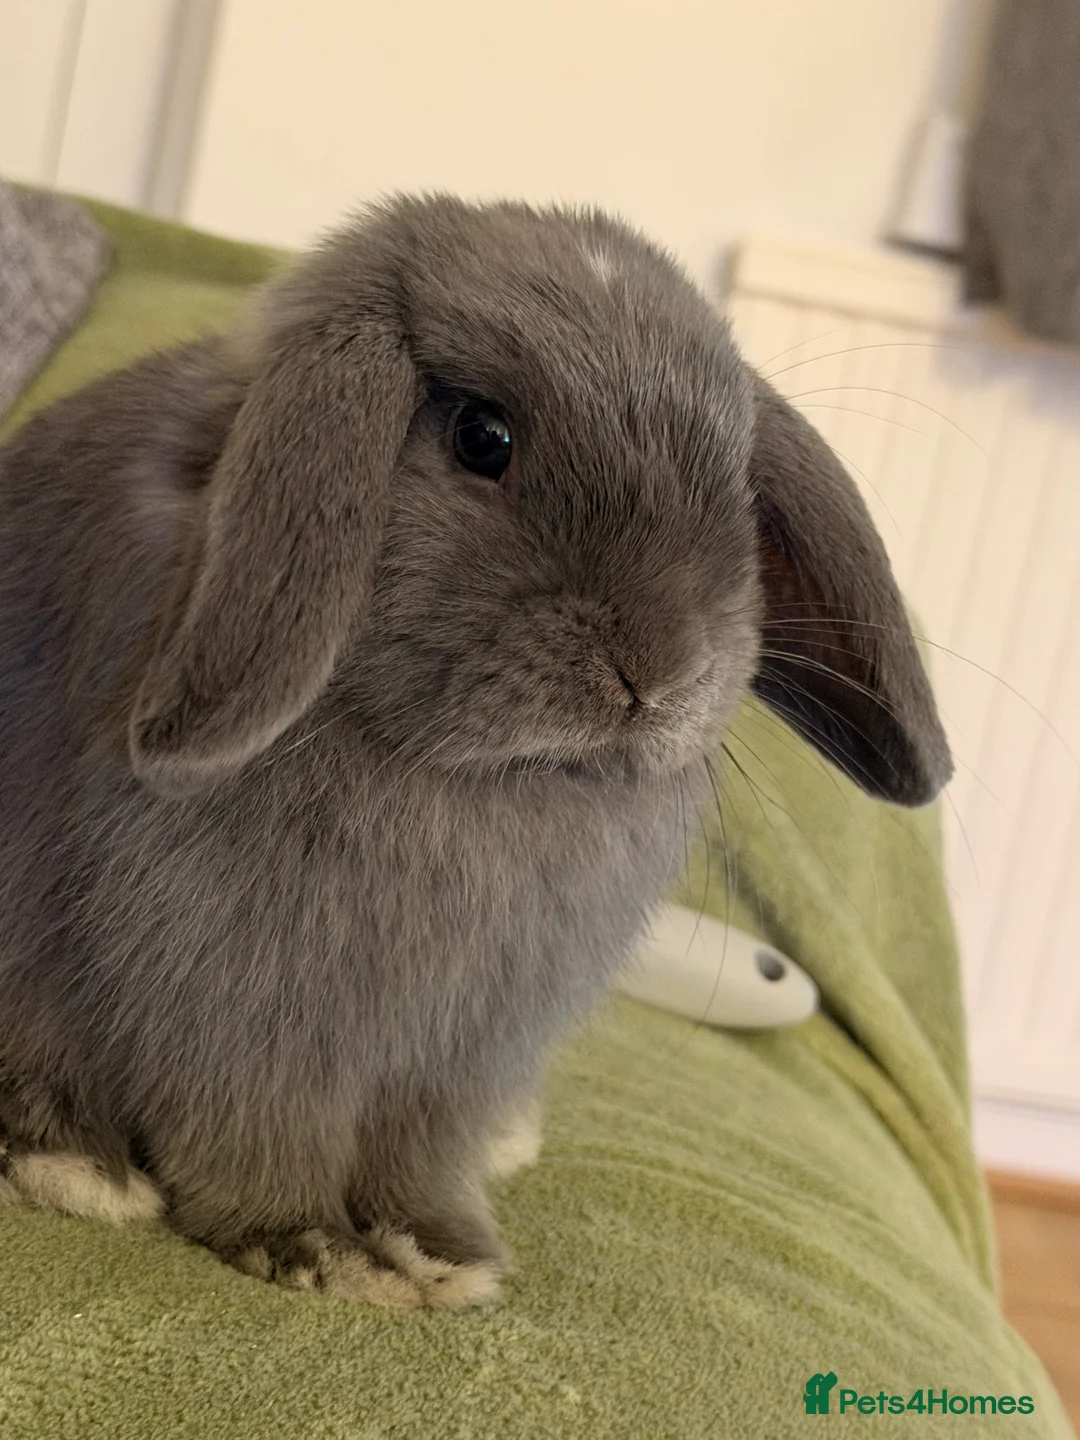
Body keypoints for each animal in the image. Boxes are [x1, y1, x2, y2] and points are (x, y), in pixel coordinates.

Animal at [0, 194, 952, 1308]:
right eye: (482, 437)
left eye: (742, 490)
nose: (659, 670)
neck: (479, 781)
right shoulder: (246, 1009)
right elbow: (257, 1134)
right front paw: (311, 1247)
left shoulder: (464, 1054)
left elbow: (423, 1158)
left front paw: (445, 1252)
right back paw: (77, 1165)